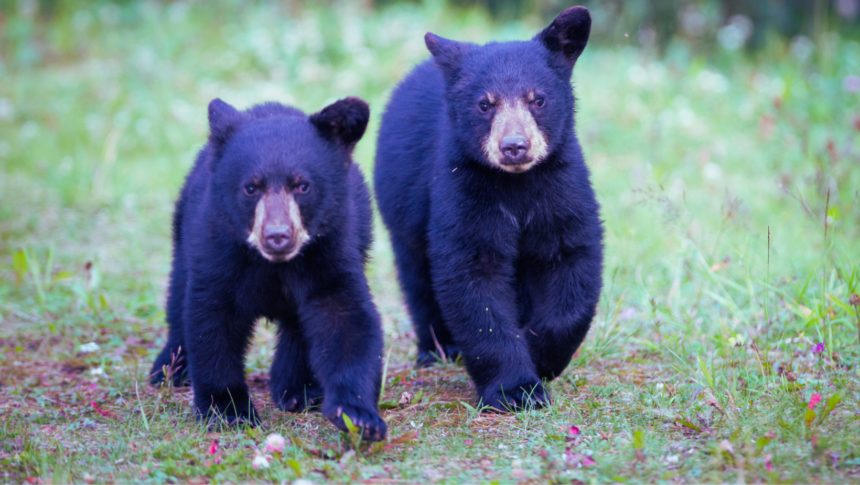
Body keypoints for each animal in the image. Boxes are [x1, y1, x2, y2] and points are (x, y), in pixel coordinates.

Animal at [150, 97, 387, 440]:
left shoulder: (332, 248)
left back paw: (299, 390)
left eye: (302, 186)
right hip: (182, 231)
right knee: (178, 294)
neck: (274, 264)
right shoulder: (217, 247)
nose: (277, 235)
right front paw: (228, 410)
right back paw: (169, 368)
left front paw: (358, 415)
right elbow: (212, 319)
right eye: (251, 188)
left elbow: (345, 318)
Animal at [374, 6, 603, 411]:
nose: (514, 146)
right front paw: (516, 389)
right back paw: (438, 348)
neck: (517, 184)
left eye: (538, 99)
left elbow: (571, 260)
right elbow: (473, 277)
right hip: (402, 207)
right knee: (417, 275)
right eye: (485, 104)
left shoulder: (561, 185)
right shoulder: (464, 188)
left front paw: (540, 355)